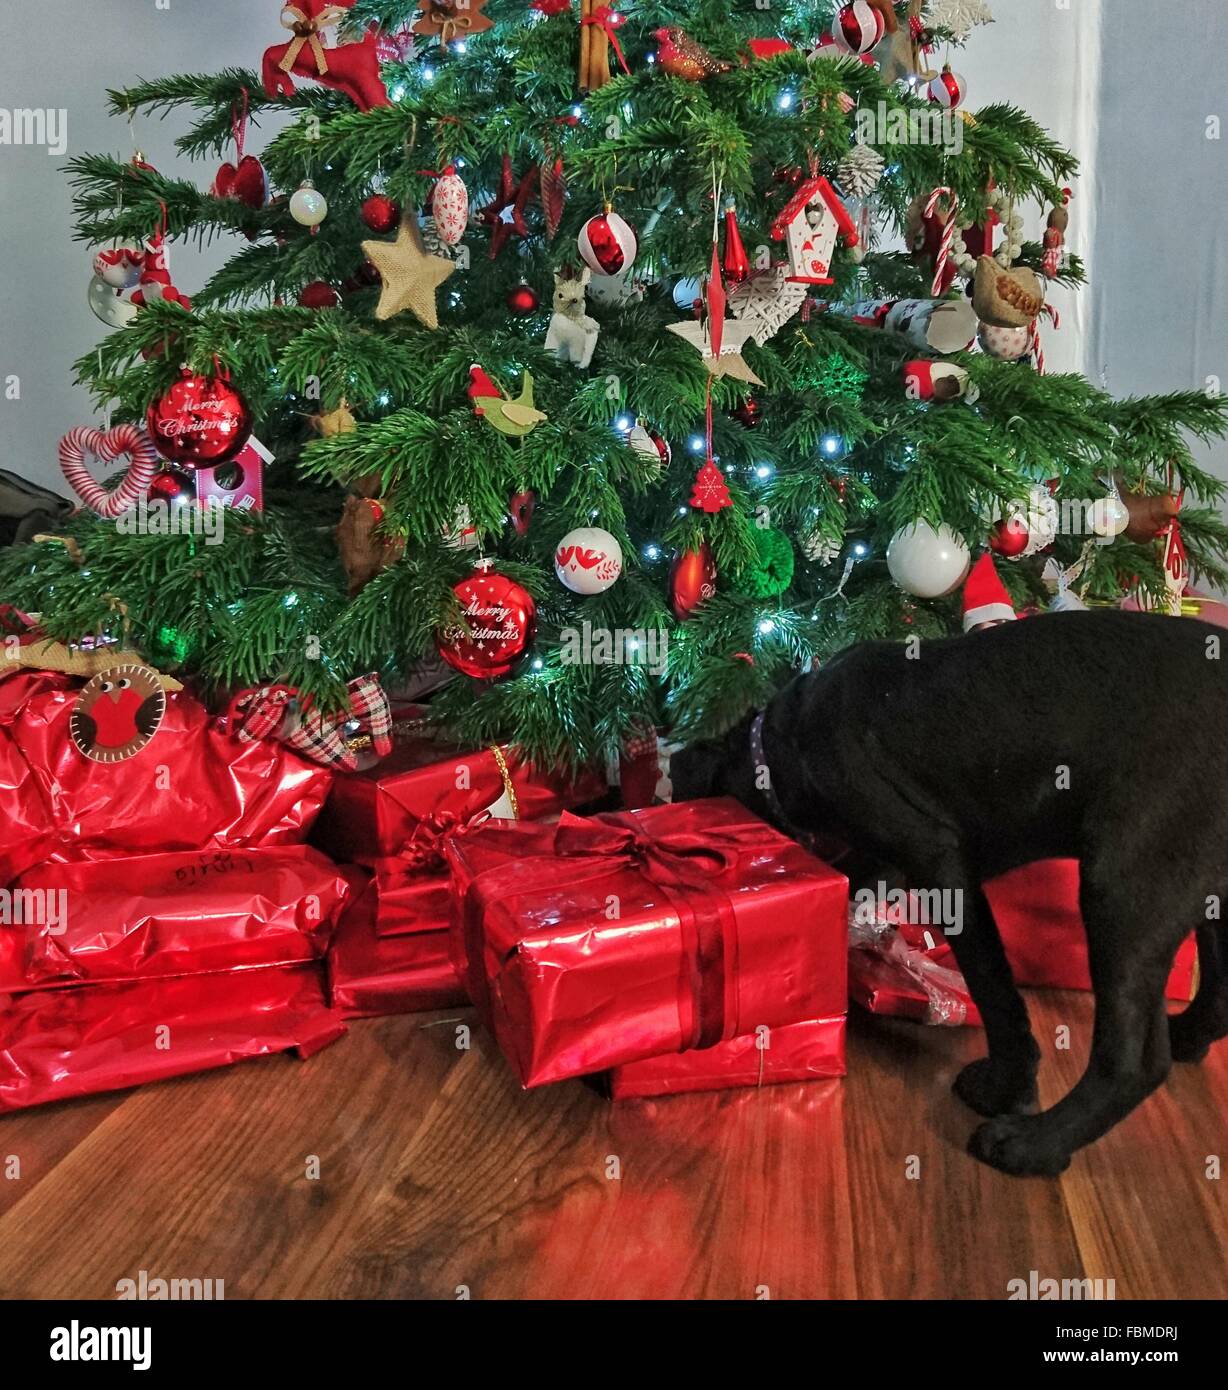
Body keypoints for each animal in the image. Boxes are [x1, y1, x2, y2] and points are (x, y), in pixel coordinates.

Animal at [673, 614, 1228, 1178]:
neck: (786, 740)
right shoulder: (884, 860)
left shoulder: (938, 860)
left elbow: (993, 986)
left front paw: (1008, 1087)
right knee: (1216, 991)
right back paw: (1187, 1035)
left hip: (1127, 886)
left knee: (1136, 1061)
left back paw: (1034, 1145)